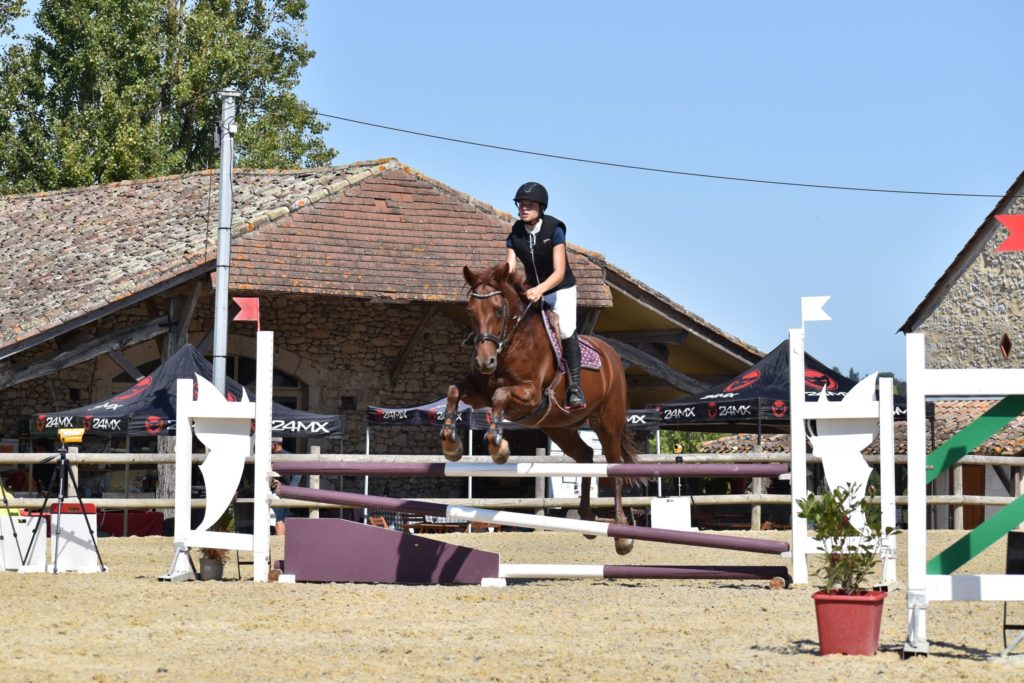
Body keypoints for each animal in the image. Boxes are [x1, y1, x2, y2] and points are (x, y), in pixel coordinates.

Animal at [440, 262, 638, 557]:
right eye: (470, 310)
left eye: (498, 310)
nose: (485, 361)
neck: (510, 343)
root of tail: (612, 355)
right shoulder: (478, 392)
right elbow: (454, 390)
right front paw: (451, 444)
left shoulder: (531, 395)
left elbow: (500, 396)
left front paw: (498, 446)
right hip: (559, 427)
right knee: (585, 455)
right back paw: (587, 518)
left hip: (607, 422)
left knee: (613, 465)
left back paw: (622, 534)